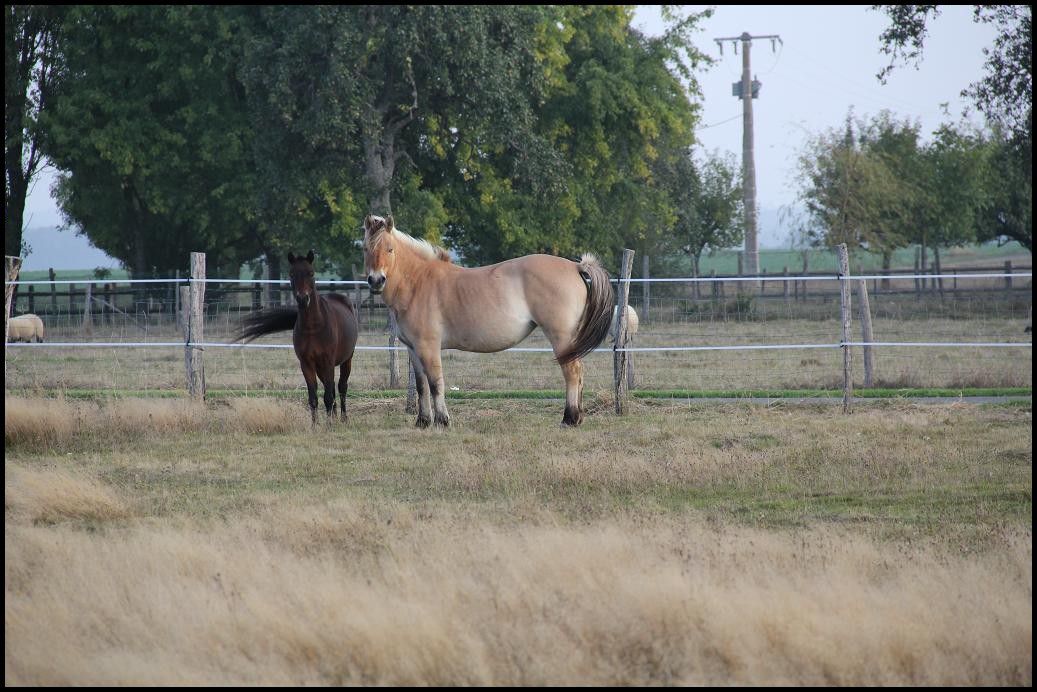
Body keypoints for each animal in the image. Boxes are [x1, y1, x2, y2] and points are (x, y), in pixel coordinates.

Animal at [235, 251, 359, 425]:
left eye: (311, 273)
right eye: (292, 274)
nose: (302, 299)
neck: (313, 327)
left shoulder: (328, 362)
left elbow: (328, 396)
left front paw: (329, 425)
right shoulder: (306, 364)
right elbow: (314, 398)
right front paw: (315, 425)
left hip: (346, 360)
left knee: (341, 387)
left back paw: (343, 419)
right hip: (320, 368)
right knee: (333, 388)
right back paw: (334, 417)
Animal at [362, 214, 614, 428]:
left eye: (390, 249)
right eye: (365, 248)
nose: (376, 280)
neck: (418, 282)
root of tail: (576, 265)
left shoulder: (428, 348)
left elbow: (435, 384)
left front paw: (443, 421)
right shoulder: (413, 350)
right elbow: (421, 386)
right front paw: (423, 422)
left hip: (561, 337)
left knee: (572, 372)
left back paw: (569, 419)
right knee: (578, 373)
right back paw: (577, 417)